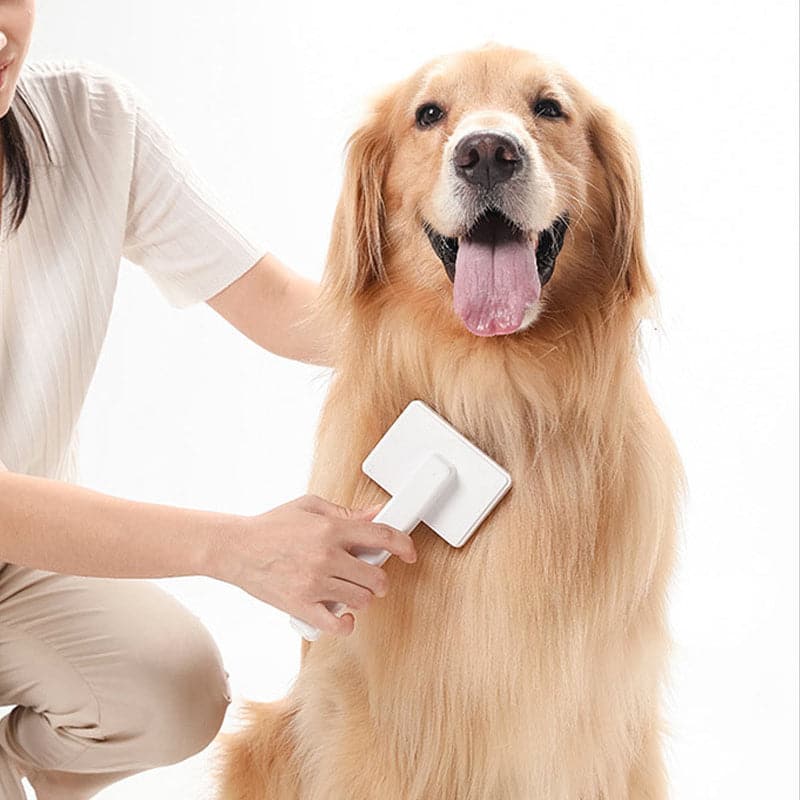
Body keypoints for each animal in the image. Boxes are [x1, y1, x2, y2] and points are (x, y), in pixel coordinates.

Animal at [216, 45, 684, 800]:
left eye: (549, 107)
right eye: (429, 113)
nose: (487, 152)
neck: (493, 399)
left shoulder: (601, 716)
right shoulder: (370, 714)